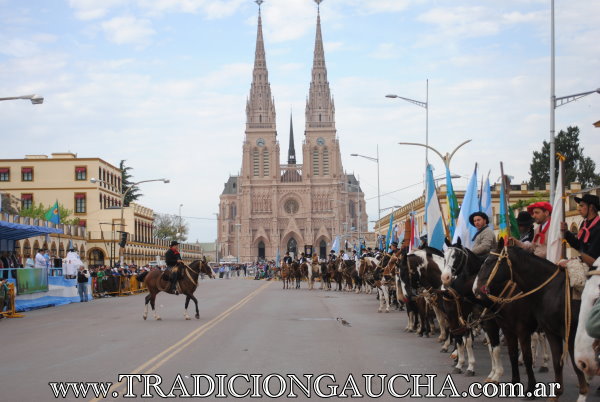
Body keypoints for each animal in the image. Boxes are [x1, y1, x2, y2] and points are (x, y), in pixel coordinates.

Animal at [476, 240, 588, 400]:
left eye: (489, 262)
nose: (476, 289)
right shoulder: (510, 329)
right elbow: (513, 354)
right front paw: (514, 384)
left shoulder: (563, 333)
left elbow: (529, 356)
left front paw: (530, 389)